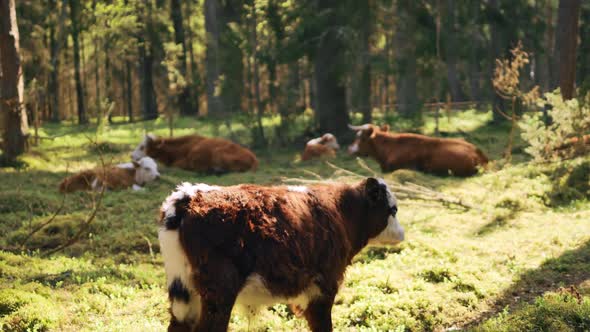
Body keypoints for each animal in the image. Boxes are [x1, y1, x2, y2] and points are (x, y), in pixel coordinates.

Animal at [158, 178, 408, 330]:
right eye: (392, 210)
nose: (402, 234)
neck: (341, 211)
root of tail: (188, 195)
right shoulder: (324, 287)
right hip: (218, 293)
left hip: (186, 292)